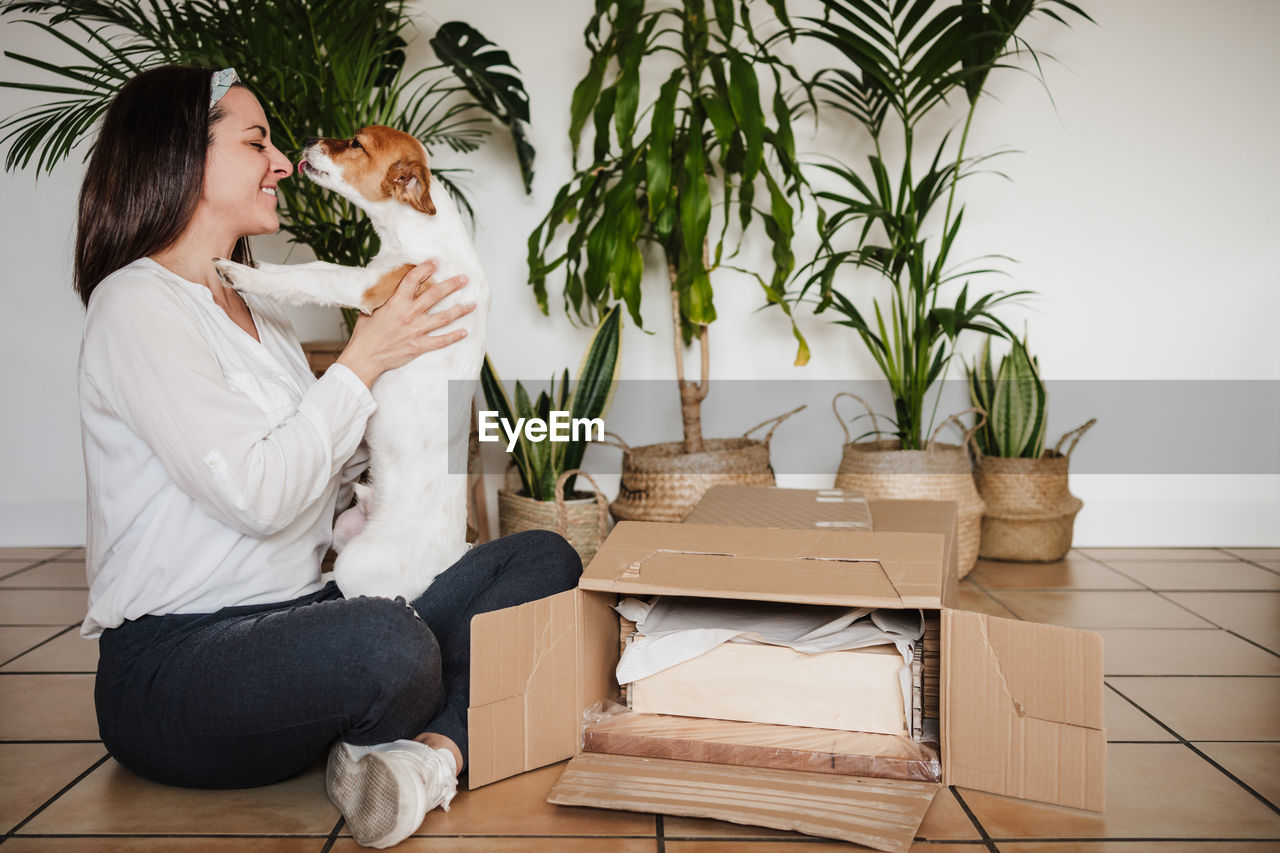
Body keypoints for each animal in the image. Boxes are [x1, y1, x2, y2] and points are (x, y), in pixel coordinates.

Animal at [212, 124, 486, 596]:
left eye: (357, 144)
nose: (306, 140)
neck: (419, 232)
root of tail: (445, 563)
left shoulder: (365, 285)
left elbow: (314, 277)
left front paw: (241, 274)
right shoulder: (365, 273)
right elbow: (307, 269)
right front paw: (257, 265)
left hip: (358, 561)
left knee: (352, 585)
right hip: (345, 527)